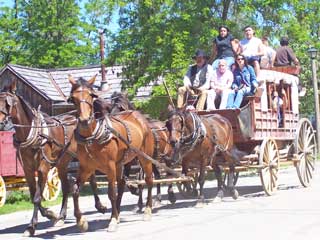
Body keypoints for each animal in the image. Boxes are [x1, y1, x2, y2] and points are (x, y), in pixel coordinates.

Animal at [0, 80, 106, 236]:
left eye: (8, 104)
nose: (1, 123)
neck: (32, 133)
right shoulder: (28, 170)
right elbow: (33, 196)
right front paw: (51, 215)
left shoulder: (43, 168)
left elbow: (37, 197)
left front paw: (31, 226)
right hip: (62, 162)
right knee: (66, 187)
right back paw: (61, 216)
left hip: (83, 158)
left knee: (91, 178)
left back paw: (100, 206)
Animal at [69, 75, 155, 232]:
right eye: (73, 98)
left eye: (91, 95)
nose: (84, 120)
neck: (92, 137)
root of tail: (138, 116)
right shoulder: (86, 168)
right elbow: (75, 190)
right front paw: (81, 220)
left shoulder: (110, 167)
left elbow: (111, 194)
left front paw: (113, 220)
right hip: (120, 163)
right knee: (122, 183)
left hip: (144, 157)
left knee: (149, 180)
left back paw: (147, 210)